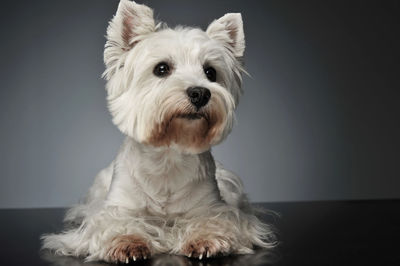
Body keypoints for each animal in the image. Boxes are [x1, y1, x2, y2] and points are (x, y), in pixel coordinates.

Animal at [41, 0, 278, 262]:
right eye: (161, 68)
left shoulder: (212, 207)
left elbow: (212, 220)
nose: (200, 93)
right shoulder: (116, 210)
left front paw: (206, 240)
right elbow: (116, 224)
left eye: (210, 72)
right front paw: (127, 242)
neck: (167, 157)